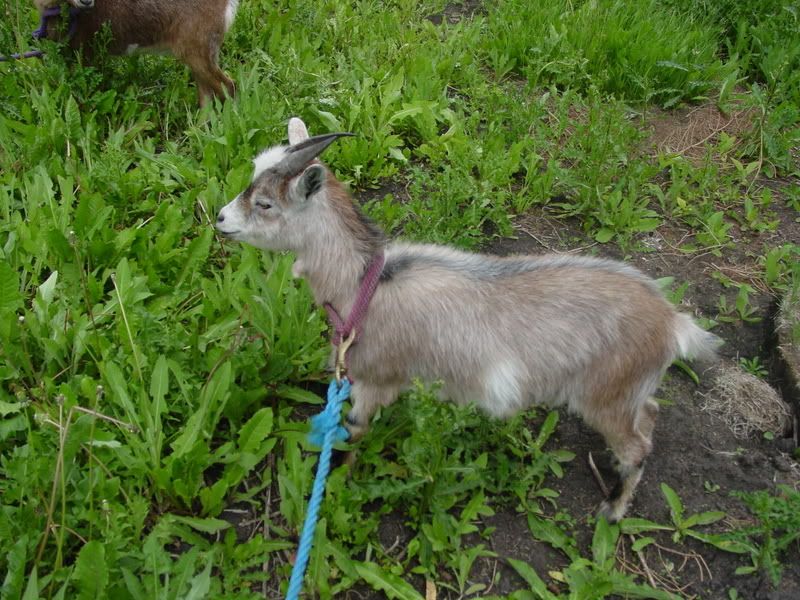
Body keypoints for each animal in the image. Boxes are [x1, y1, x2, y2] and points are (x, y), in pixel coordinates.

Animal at [215, 118, 720, 522]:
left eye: (265, 204)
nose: (220, 219)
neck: (366, 283)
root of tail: (673, 321)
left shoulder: (376, 379)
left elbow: (354, 433)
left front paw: (340, 487)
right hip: (629, 390)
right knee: (649, 415)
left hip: (605, 395)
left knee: (637, 445)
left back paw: (613, 510)